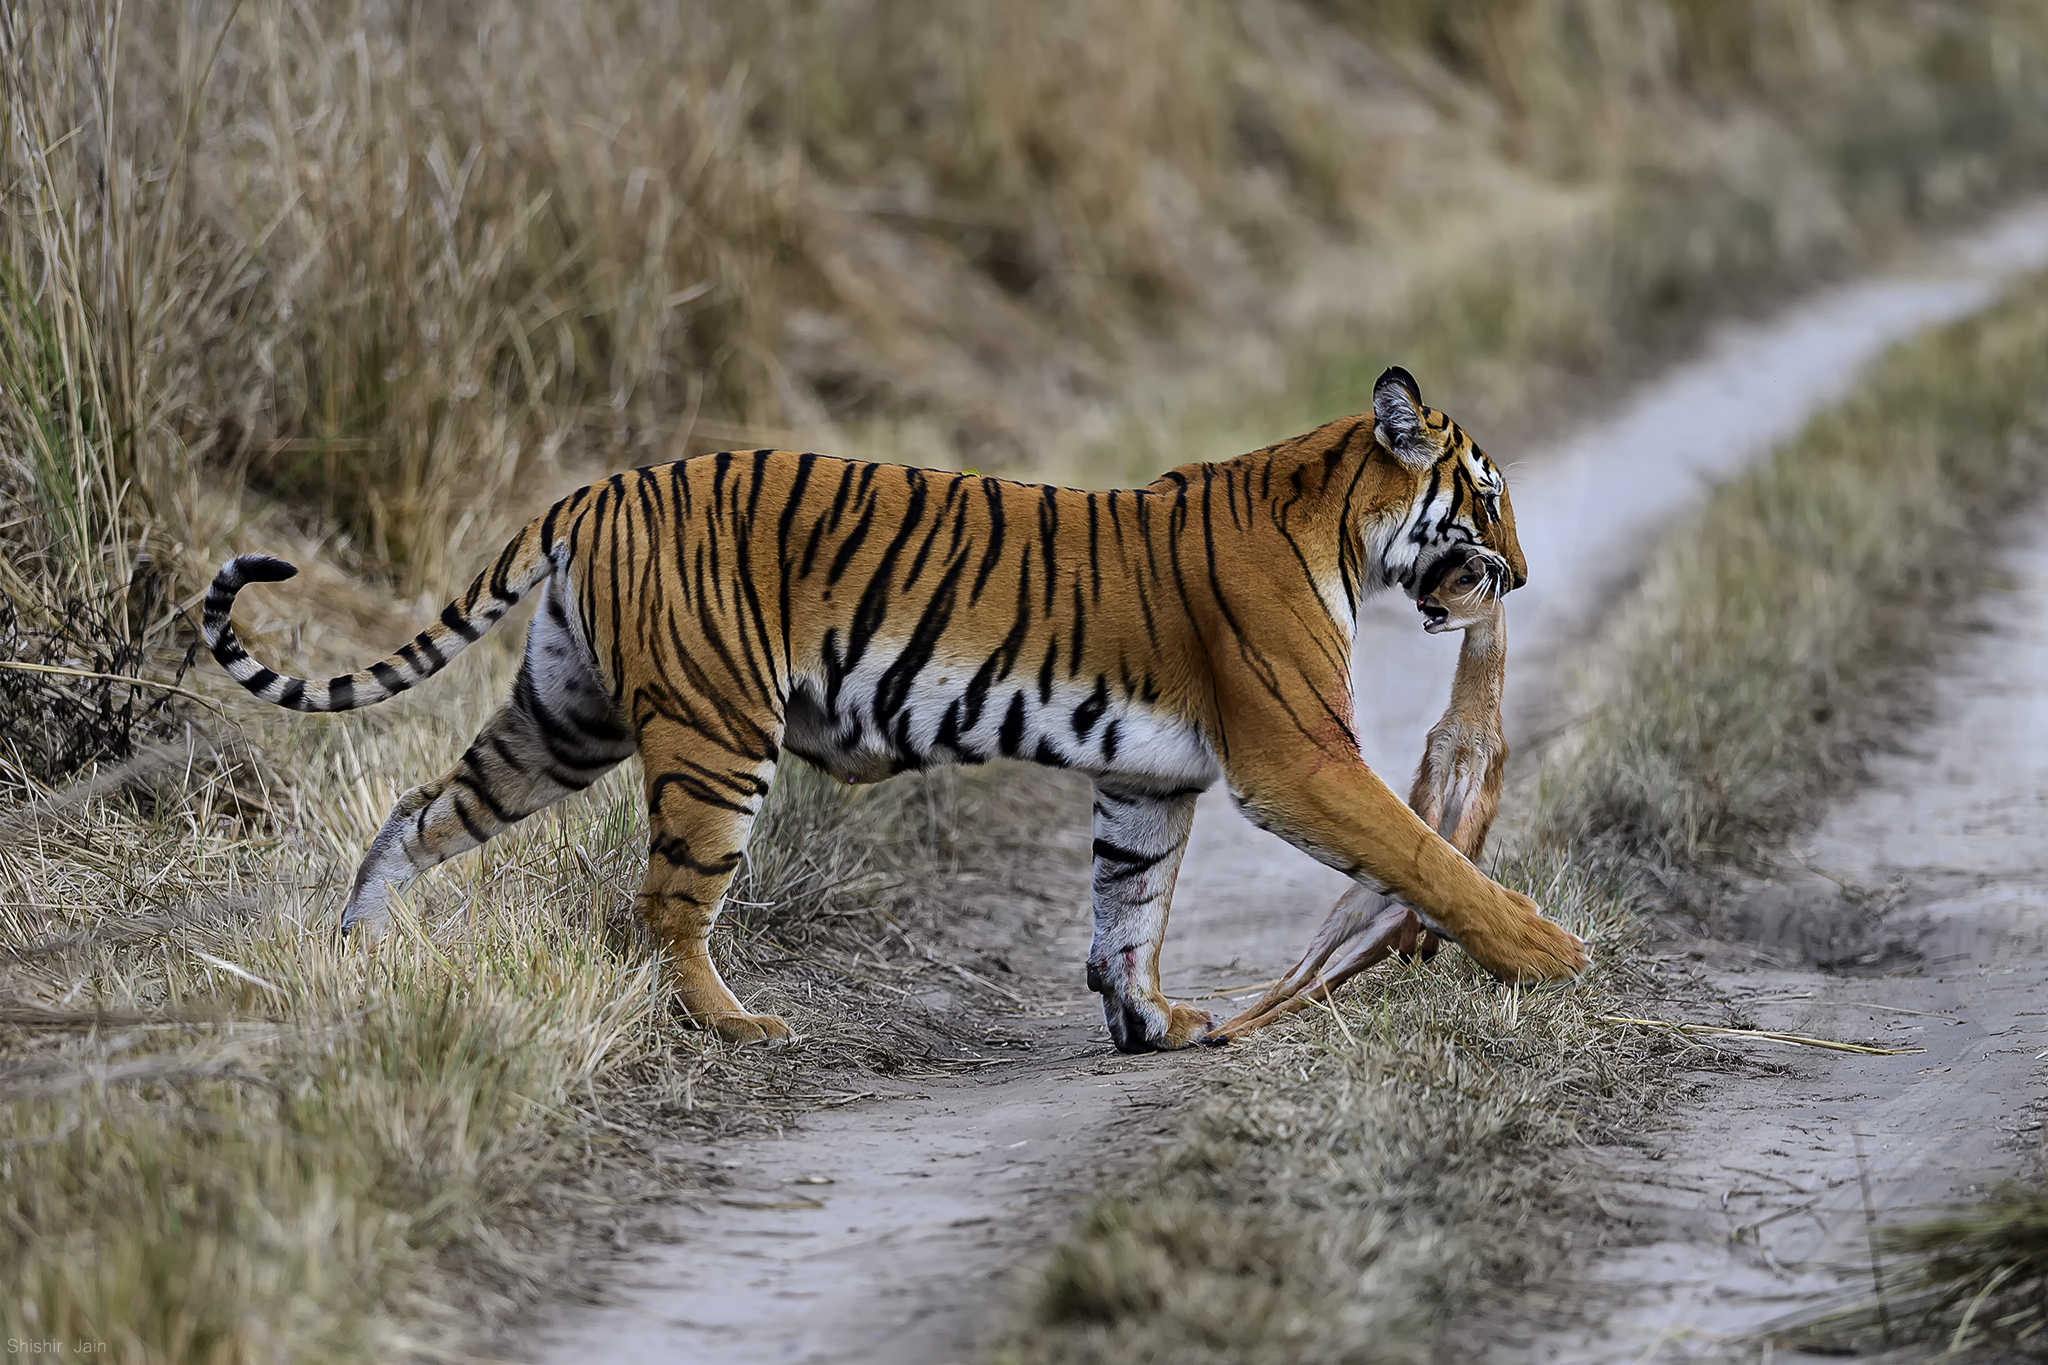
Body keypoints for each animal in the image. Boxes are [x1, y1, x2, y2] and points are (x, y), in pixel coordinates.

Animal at [203, 366, 1581, 1055]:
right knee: (663, 902)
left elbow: (1126, 905)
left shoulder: (1148, 779)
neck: (1344, 526)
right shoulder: (1298, 757)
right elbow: (1424, 858)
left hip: (562, 720)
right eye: (1487, 498)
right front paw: (1546, 953)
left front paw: (1148, 1023)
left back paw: (356, 953)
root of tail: (601, 489)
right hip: (714, 739)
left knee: (417, 812)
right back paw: (739, 1024)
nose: (1521, 574)